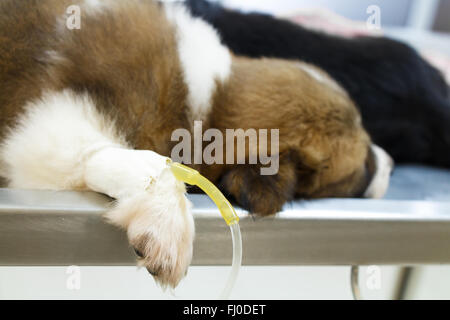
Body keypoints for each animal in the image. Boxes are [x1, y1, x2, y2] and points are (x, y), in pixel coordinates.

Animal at [0, 0, 392, 288]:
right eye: (363, 169)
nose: (389, 162)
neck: (207, 99)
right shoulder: (46, 122)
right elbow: (142, 161)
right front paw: (167, 220)